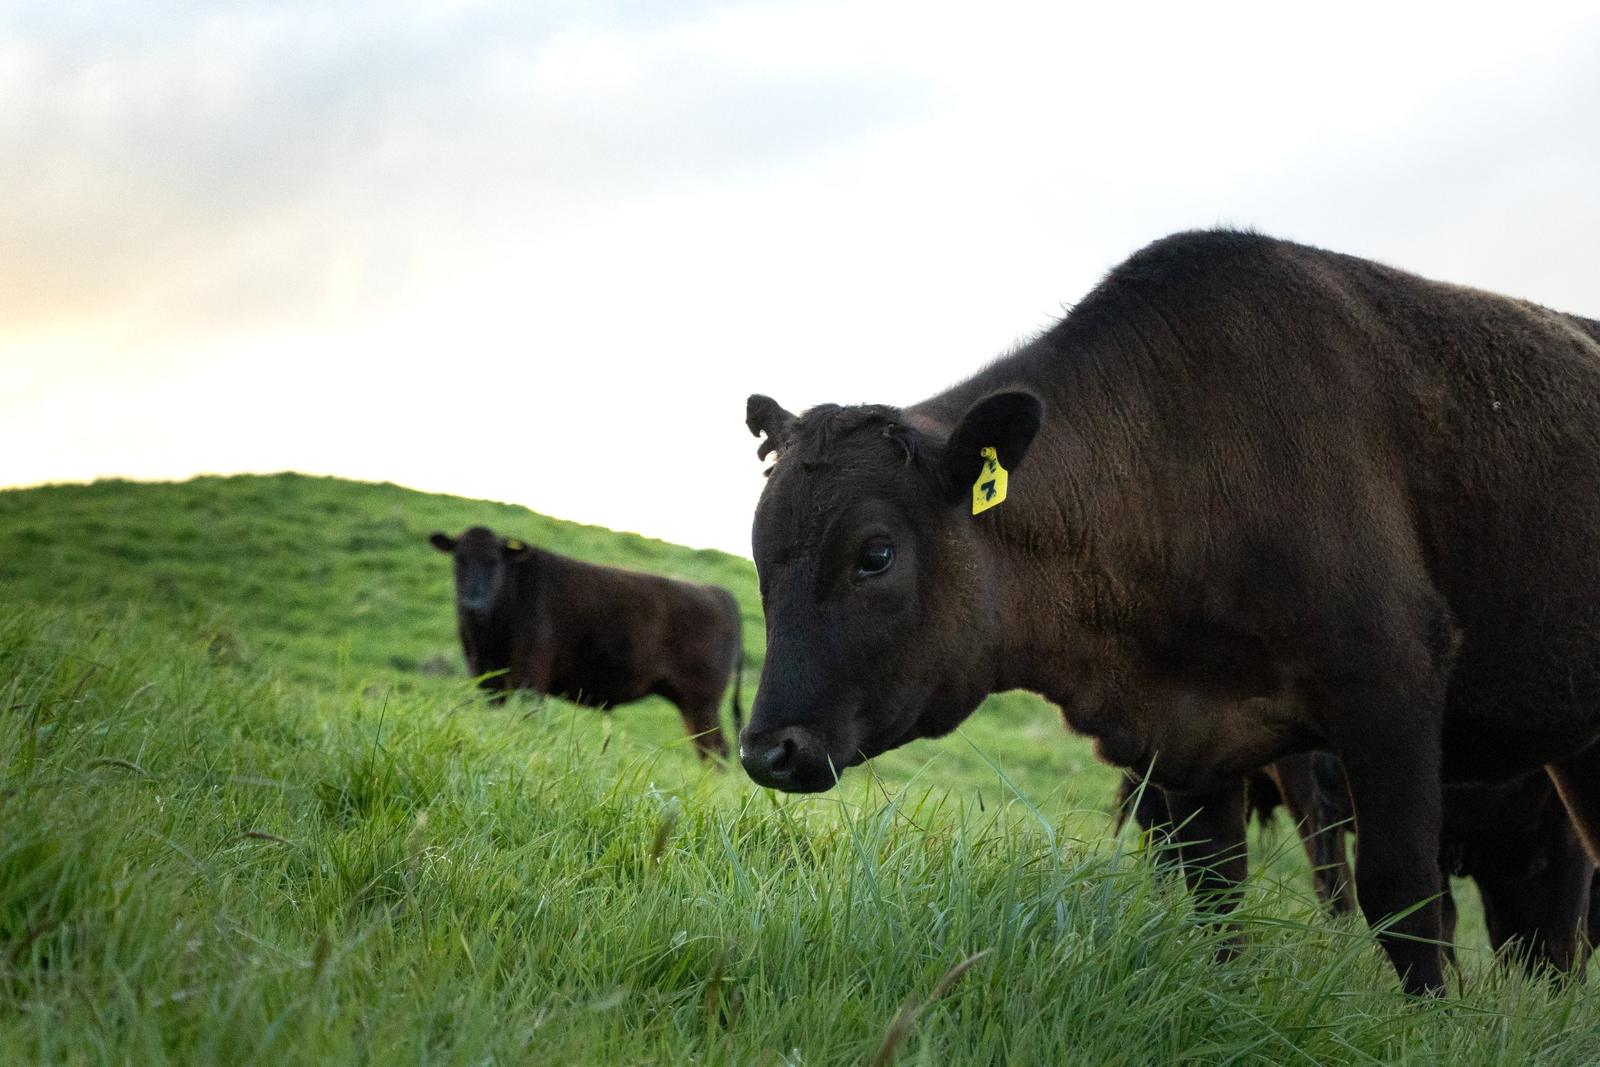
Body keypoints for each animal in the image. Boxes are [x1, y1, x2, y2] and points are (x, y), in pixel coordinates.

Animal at [428, 526, 744, 760]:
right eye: (459, 559)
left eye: (494, 562)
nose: (472, 604)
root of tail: (717, 592)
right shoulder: (486, 676)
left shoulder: (530, 678)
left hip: (702, 702)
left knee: (715, 751)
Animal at [738, 230, 1600, 994]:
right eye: (759, 554)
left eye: (875, 553)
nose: (768, 750)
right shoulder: (1187, 735)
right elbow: (1217, 893)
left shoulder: (1393, 679)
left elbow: (1403, 898)